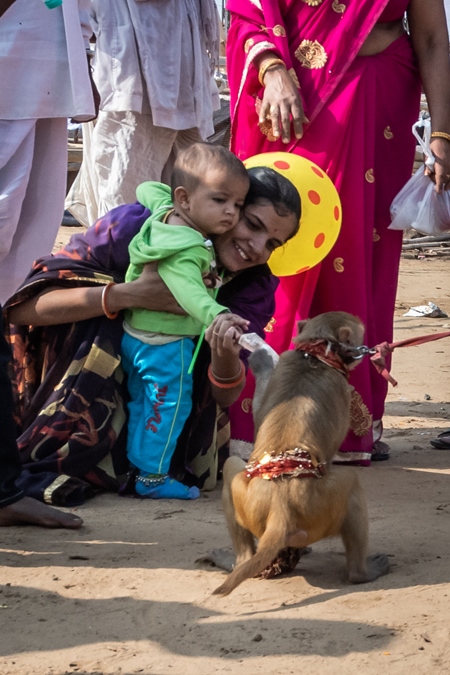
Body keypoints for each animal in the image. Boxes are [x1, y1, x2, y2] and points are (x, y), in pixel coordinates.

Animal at [213, 312, 388, 596]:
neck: (315, 354)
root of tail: (280, 508)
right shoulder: (342, 388)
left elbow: (259, 415)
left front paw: (260, 358)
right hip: (322, 506)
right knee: (352, 483)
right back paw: (362, 572)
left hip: (249, 503)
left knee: (230, 466)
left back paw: (240, 560)